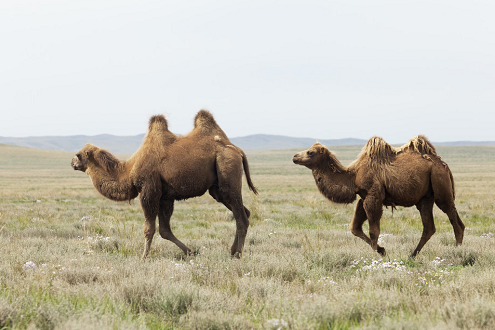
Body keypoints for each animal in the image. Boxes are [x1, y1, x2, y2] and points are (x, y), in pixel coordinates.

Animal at [73, 111, 260, 260]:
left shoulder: (149, 190)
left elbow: (149, 229)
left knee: (241, 217)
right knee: (243, 212)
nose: (72, 163)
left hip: (227, 169)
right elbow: (165, 230)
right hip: (217, 189)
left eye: (79, 155)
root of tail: (237, 150)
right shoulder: (165, 197)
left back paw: (238, 255)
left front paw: (143, 257)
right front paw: (191, 252)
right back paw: (232, 251)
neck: (129, 169)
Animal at [292, 135, 464, 256]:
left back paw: (458, 252)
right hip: (425, 198)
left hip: (440, 186)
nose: (294, 156)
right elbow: (354, 228)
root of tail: (443, 164)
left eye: (310, 152)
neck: (353, 176)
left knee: (455, 220)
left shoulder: (373, 196)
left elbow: (373, 231)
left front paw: (376, 254)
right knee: (429, 227)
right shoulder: (363, 197)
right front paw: (382, 250)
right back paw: (412, 255)